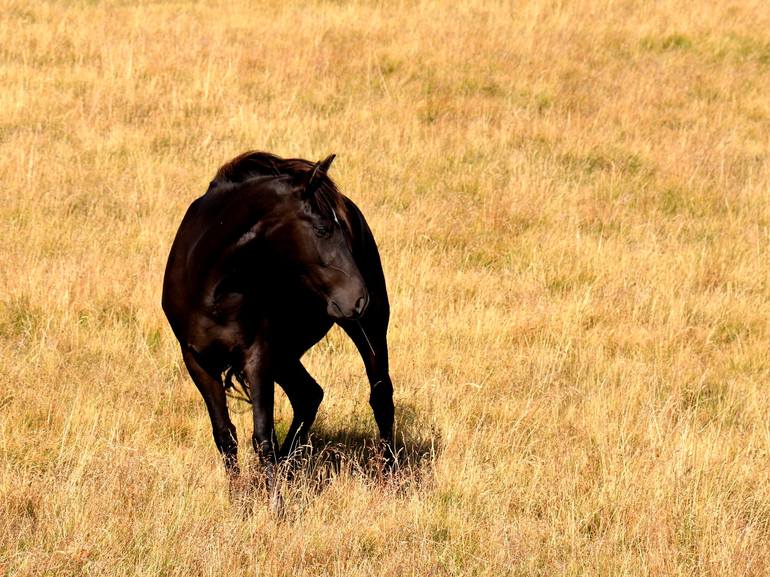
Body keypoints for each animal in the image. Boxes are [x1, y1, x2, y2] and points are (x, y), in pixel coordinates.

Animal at [160, 150, 392, 486]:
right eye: (322, 229)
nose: (359, 298)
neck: (211, 284)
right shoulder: (197, 360)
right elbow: (225, 435)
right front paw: (239, 496)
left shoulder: (256, 356)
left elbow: (262, 436)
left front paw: (273, 499)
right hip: (284, 354)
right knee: (308, 395)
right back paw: (288, 468)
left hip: (368, 327)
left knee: (380, 395)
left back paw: (390, 476)